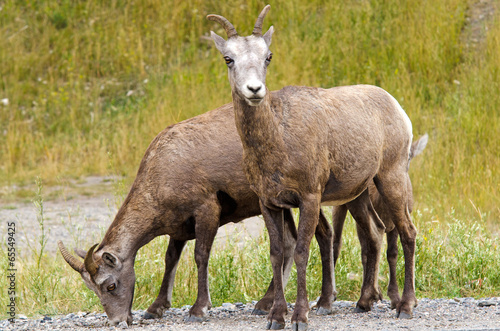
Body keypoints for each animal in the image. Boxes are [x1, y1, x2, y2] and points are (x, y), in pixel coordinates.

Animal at [209, 4, 420, 330]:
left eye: (268, 56)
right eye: (228, 59)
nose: (254, 89)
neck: (278, 141)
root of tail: (397, 107)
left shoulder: (309, 198)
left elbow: (300, 252)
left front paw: (300, 316)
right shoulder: (270, 203)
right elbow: (276, 254)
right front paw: (276, 317)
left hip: (391, 178)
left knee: (407, 231)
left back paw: (405, 306)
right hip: (358, 194)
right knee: (375, 233)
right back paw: (363, 303)